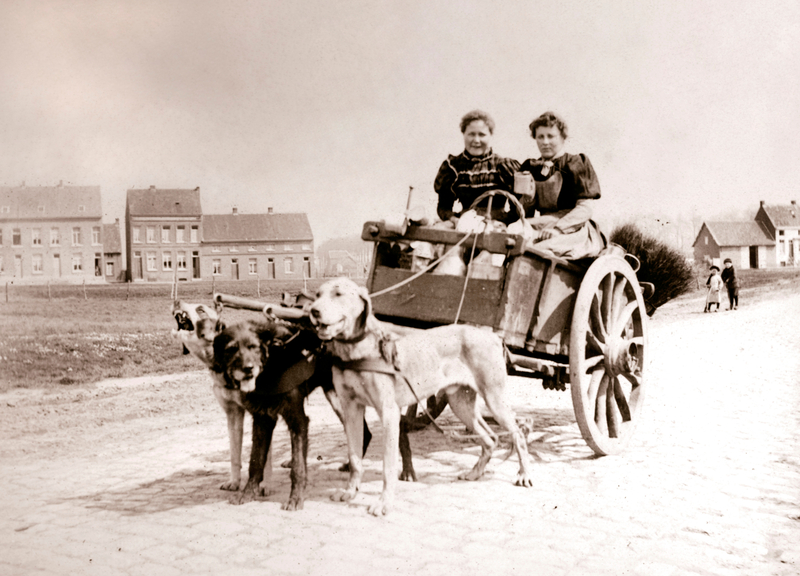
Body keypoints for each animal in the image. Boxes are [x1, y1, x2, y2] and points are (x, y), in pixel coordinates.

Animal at [310, 276, 532, 516]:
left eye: (338, 294)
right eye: (317, 295)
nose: (313, 311)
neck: (358, 351)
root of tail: (493, 335)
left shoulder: (389, 414)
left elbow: (388, 465)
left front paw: (384, 503)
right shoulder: (351, 410)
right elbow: (354, 458)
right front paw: (350, 492)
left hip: (494, 398)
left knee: (518, 434)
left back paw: (524, 475)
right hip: (460, 403)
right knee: (490, 438)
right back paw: (475, 473)